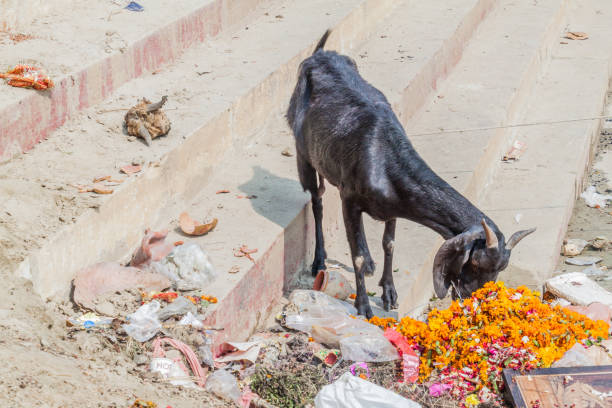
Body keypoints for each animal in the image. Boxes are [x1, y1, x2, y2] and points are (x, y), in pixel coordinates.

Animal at [286, 31, 536, 318]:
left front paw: (389, 292)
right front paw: (363, 306)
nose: (472, 297)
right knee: (317, 200)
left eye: (500, 269)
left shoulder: (392, 207)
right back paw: (319, 260)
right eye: (474, 262)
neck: (383, 157)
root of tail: (318, 54)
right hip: (304, 155)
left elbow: (389, 243)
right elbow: (357, 256)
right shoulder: (348, 199)